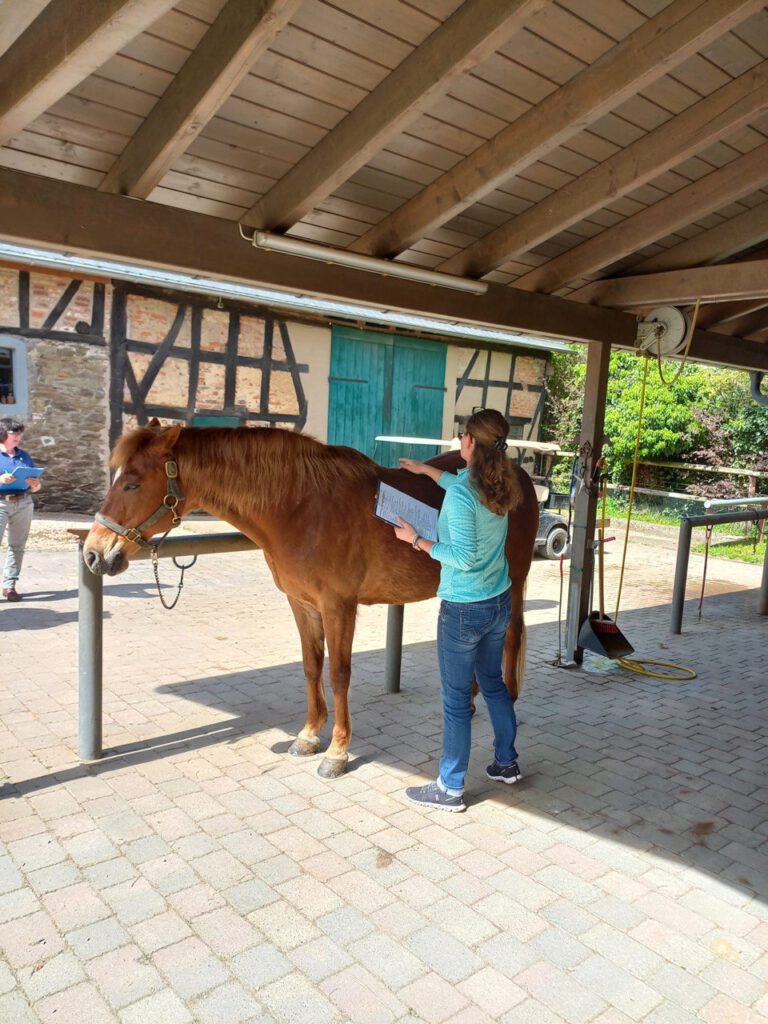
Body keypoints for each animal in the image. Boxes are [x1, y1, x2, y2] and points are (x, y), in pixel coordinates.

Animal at [82, 417, 540, 774]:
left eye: (132, 484)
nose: (94, 554)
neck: (300, 507)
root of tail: (517, 475)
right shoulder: (302, 605)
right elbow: (310, 666)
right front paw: (307, 736)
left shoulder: (339, 607)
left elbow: (338, 674)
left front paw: (337, 751)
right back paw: (475, 701)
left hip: (514, 582)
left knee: (511, 637)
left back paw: (508, 706)